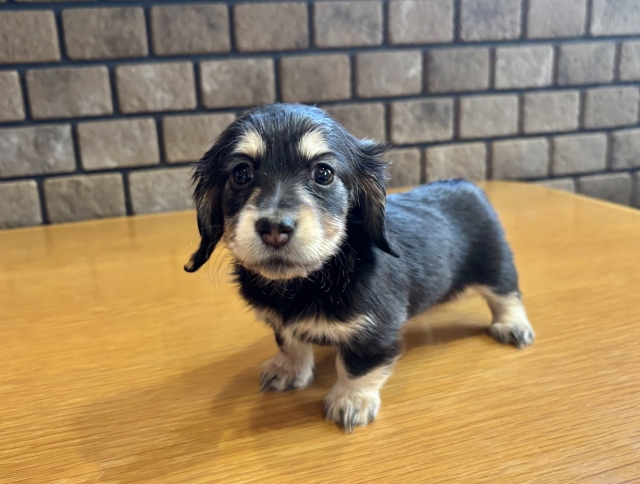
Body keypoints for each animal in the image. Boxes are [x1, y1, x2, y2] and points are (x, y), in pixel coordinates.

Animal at [184, 103, 535, 432]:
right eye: (241, 173)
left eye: (323, 173)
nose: (274, 228)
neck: (309, 281)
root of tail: (467, 185)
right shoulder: (282, 323)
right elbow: (291, 344)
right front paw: (289, 370)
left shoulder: (374, 330)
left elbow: (357, 368)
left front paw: (350, 401)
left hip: (496, 265)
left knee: (507, 296)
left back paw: (512, 325)